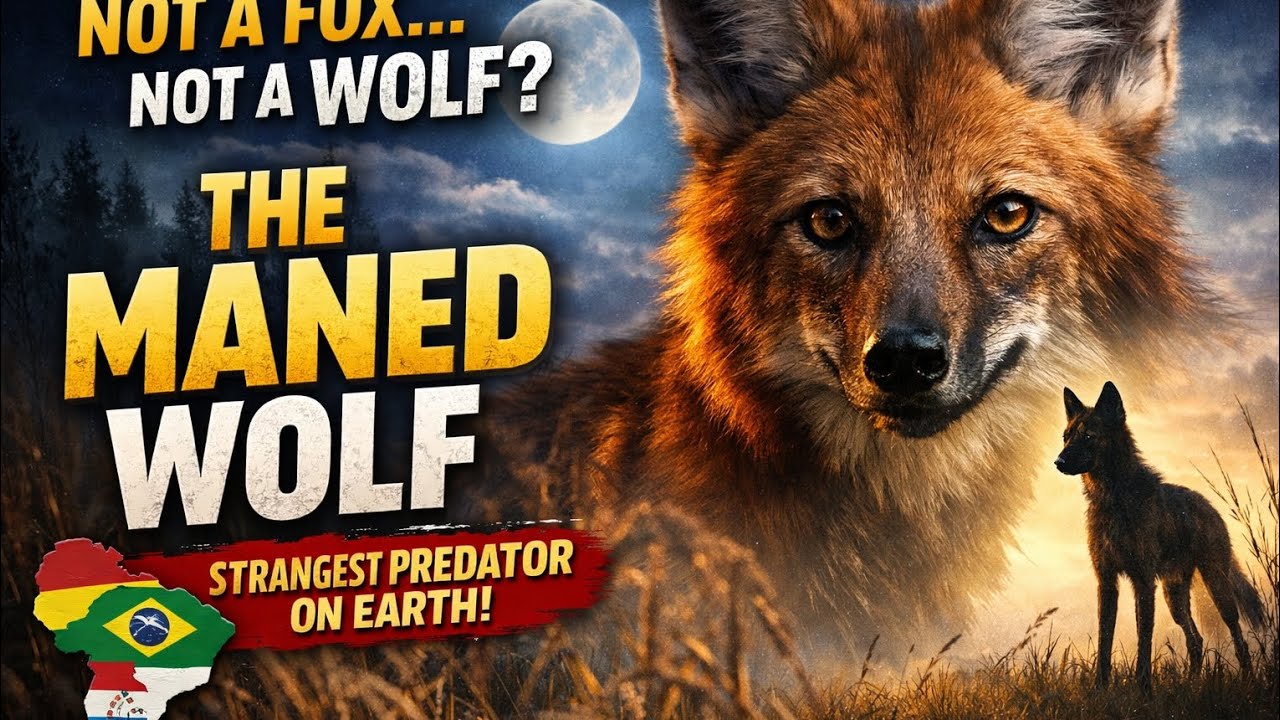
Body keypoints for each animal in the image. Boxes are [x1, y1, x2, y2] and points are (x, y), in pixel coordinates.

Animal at [1055, 382, 1264, 691]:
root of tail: (1207, 504)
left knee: (1238, 637)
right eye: (1066, 436)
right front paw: (1100, 689)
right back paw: (1192, 685)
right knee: (1196, 640)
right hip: (1174, 597)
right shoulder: (1107, 582)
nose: (1058, 461)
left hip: (1217, 588)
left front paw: (1143, 690)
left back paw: (1247, 681)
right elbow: (1105, 641)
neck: (1114, 501)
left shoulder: (1143, 583)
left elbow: (1144, 640)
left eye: (1089, 436)